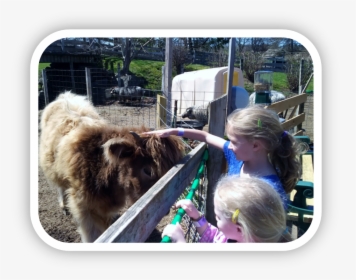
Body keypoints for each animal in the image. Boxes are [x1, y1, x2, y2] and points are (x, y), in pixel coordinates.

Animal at [39, 92, 186, 243]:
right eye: (148, 170)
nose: (166, 209)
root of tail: (65, 96)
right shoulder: (84, 209)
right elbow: (92, 235)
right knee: (60, 186)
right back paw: (63, 205)